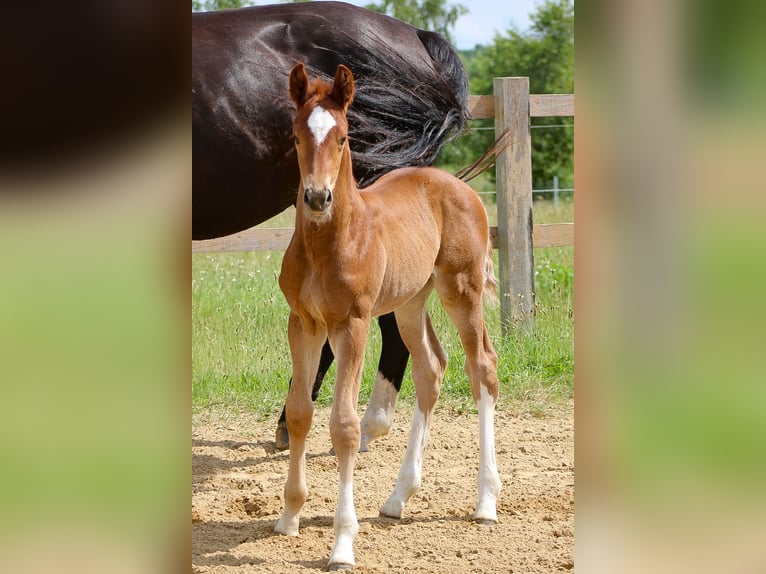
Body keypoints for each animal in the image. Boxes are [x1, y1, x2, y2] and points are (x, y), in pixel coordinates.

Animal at [278, 64, 504, 572]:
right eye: (297, 135)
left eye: (343, 137)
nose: (316, 197)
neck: (329, 243)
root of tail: (461, 187)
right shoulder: (303, 324)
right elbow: (300, 412)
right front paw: (289, 516)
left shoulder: (352, 325)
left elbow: (344, 426)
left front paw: (342, 543)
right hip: (409, 303)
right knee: (430, 369)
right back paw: (398, 498)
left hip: (461, 289)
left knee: (482, 366)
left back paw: (486, 501)